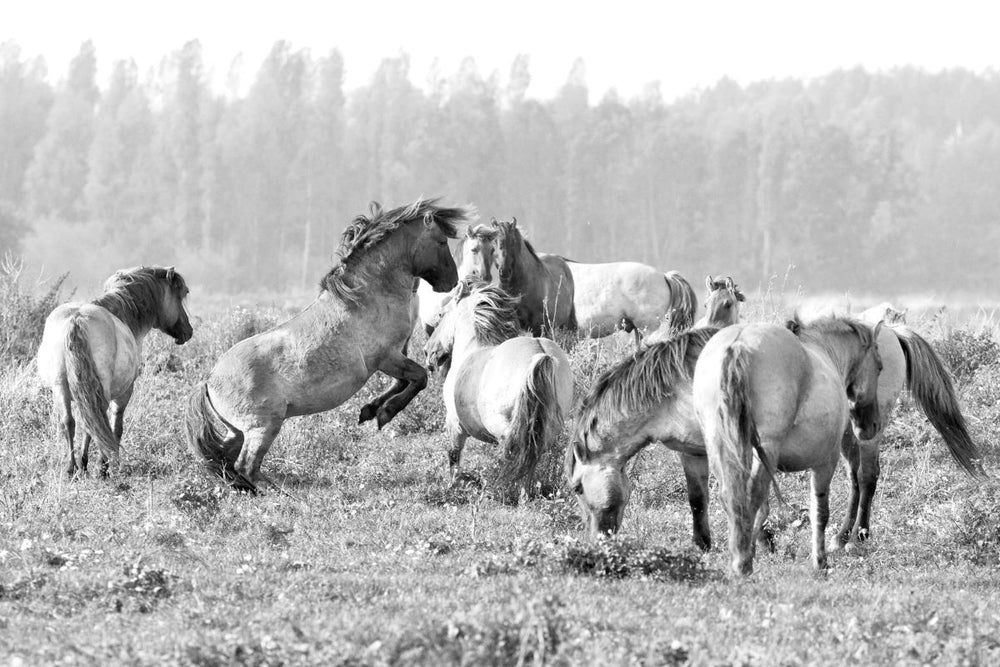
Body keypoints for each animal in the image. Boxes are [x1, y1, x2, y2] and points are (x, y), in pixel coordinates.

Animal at [37, 266, 193, 477]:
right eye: (181, 294)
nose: (188, 331)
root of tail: (77, 319)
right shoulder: (124, 393)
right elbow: (116, 427)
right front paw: (105, 464)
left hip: (60, 387)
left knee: (69, 422)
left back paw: (72, 468)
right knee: (93, 422)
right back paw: (94, 466)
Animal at [186, 198, 472, 492]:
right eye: (441, 241)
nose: (452, 283)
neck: (370, 295)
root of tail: (209, 381)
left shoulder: (395, 356)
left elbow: (403, 382)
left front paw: (370, 410)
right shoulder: (386, 357)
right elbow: (419, 378)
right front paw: (385, 413)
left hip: (238, 431)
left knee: (227, 459)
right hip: (264, 427)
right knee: (245, 466)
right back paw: (279, 493)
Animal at [424, 280, 574, 498]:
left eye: (441, 314)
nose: (428, 352)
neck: (471, 348)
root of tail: (540, 353)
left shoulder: (454, 423)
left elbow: (454, 457)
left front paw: (454, 486)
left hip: (505, 429)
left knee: (513, 454)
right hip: (546, 430)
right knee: (530, 459)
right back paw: (523, 496)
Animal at [693, 315, 884, 576]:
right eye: (879, 366)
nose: (872, 425)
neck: (823, 350)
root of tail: (738, 343)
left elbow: (764, 508)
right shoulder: (825, 461)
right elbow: (819, 511)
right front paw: (820, 561)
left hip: (721, 447)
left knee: (732, 498)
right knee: (751, 497)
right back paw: (743, 561)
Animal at [834, 309, 985, 547]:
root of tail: (892, 331)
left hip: (868, 427)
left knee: (867, 475)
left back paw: (858, 536)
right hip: (850, 429)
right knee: (855, 476)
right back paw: (843, 536)